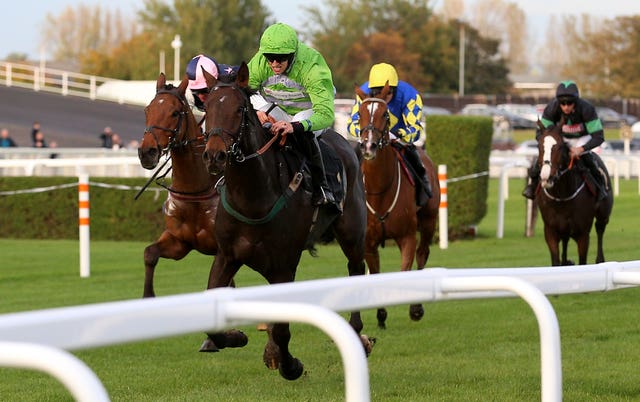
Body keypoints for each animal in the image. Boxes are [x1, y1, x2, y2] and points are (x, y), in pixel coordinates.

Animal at [200, 60, 370, 380]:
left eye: (239, 109)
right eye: (207, 106)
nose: (214, 155)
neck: (254, 197)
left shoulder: (283, 264)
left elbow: (282, 330)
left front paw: (290, 365)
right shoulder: (227, 255)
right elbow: (213, 316)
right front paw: (235, 337)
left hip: (353, 234)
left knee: (356, 270)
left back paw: (358, 334)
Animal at [356, 83, 440, 328]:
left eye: (385, 114)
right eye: (359, 115)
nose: (369, 146)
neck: (380, 190)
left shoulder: (407, 237)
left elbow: (406, 268)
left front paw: (413, 307)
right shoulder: (369, 243)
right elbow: (375, 274)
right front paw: (381, 314)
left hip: (429, 220)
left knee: (423, 253)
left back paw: (417, 307)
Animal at [536, 118, 616, 266]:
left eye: (559, 147)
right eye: (539, 146)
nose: (546, 176)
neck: (562, 196)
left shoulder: (583, 234)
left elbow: (582, 261)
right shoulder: (550, 232)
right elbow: (556, 261)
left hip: (603, 216)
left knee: (600, 230)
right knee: (565, 242)